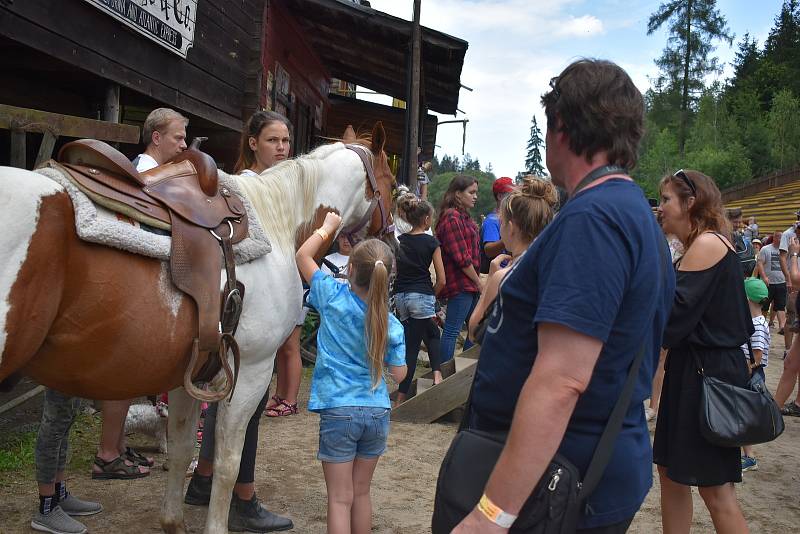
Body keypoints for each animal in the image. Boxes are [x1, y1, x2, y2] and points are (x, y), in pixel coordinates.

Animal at [0, 122, 396, 534]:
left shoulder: (188, 373)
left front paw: (173, 521)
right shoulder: (250, 370)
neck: (277, 226)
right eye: (391, 181)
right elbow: (228, 462)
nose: (393, 243)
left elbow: (181, 448)